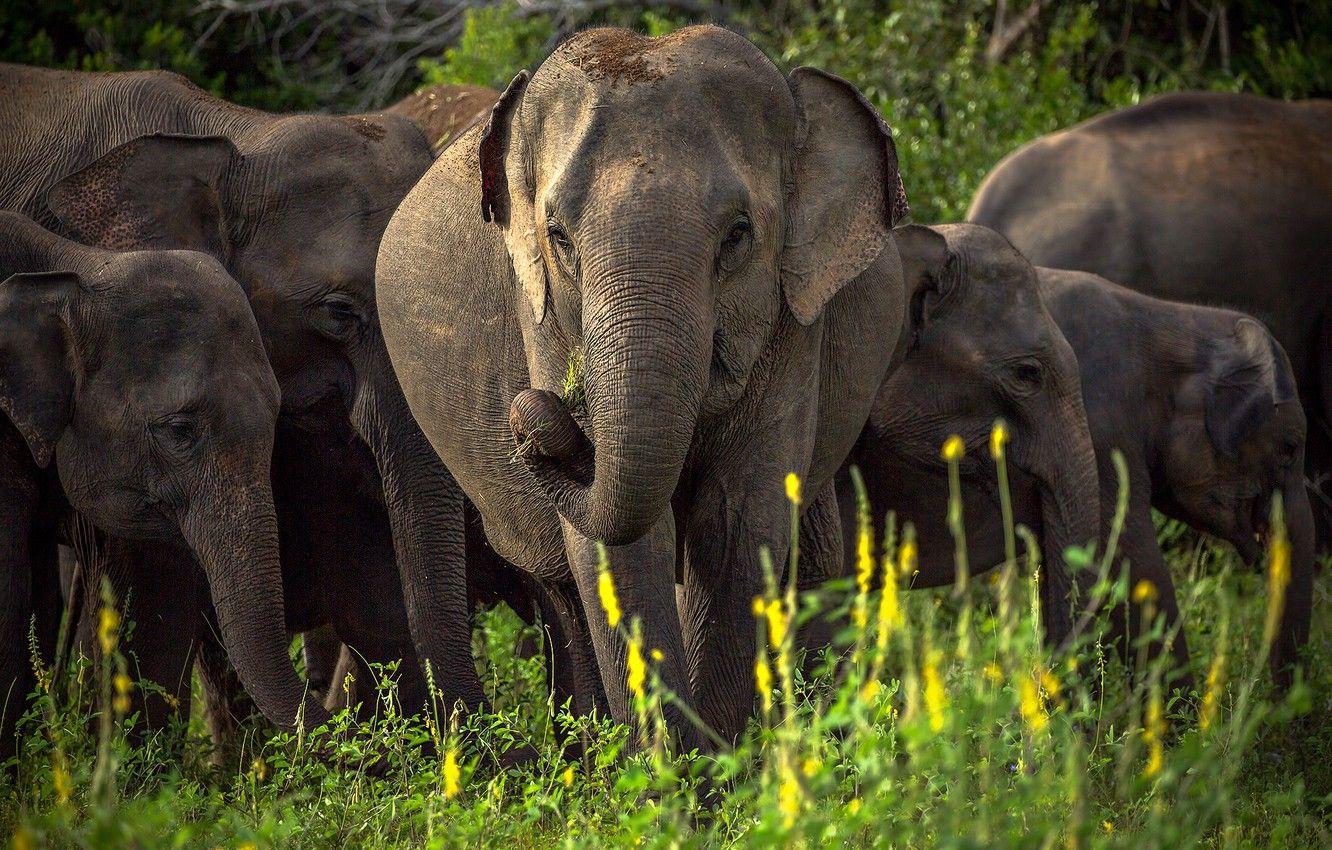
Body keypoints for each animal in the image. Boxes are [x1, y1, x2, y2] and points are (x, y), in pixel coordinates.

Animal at [378, 25, 983, 749]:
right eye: (559, 239)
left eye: (738, 236)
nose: (533, 416)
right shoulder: (543, 315)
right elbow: (617, 547)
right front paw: (670, 768)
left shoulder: (791, 320)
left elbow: (737, 514)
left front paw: (716, 766)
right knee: (562, 588)